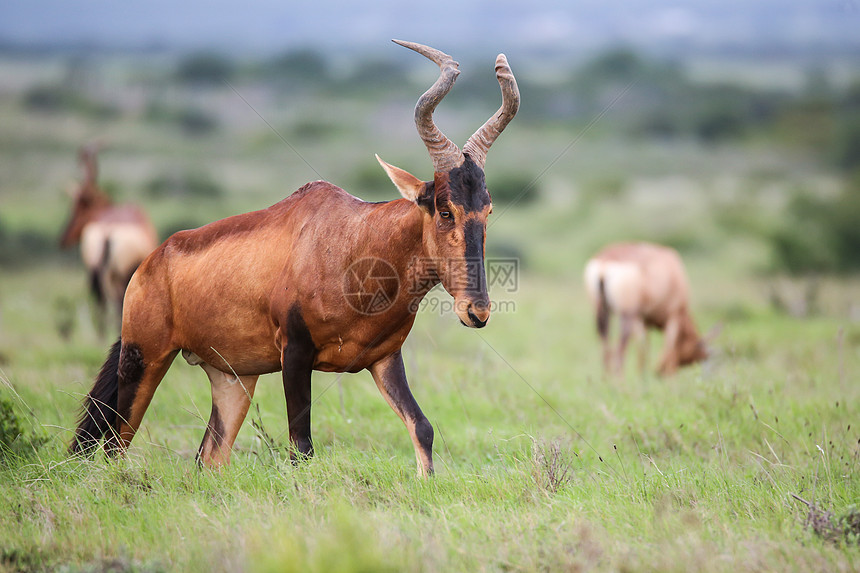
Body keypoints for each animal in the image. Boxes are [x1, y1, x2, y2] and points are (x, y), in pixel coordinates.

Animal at [59, 143, 159, 338]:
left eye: (79, 207)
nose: (63, 239)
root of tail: (107, 232)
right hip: (117, 277)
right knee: (117, 302)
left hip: (97, 274)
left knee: (101, 301)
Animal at [584, 240, 712, 376]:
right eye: (695, 354)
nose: (658, 372)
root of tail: (605, 262)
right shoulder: (674, 315)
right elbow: (668, 346)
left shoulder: (645, 321)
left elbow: (646, 348)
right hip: (627, 315)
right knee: (620, 349)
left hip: (602, 311)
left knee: (605, 345)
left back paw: (607, 379)